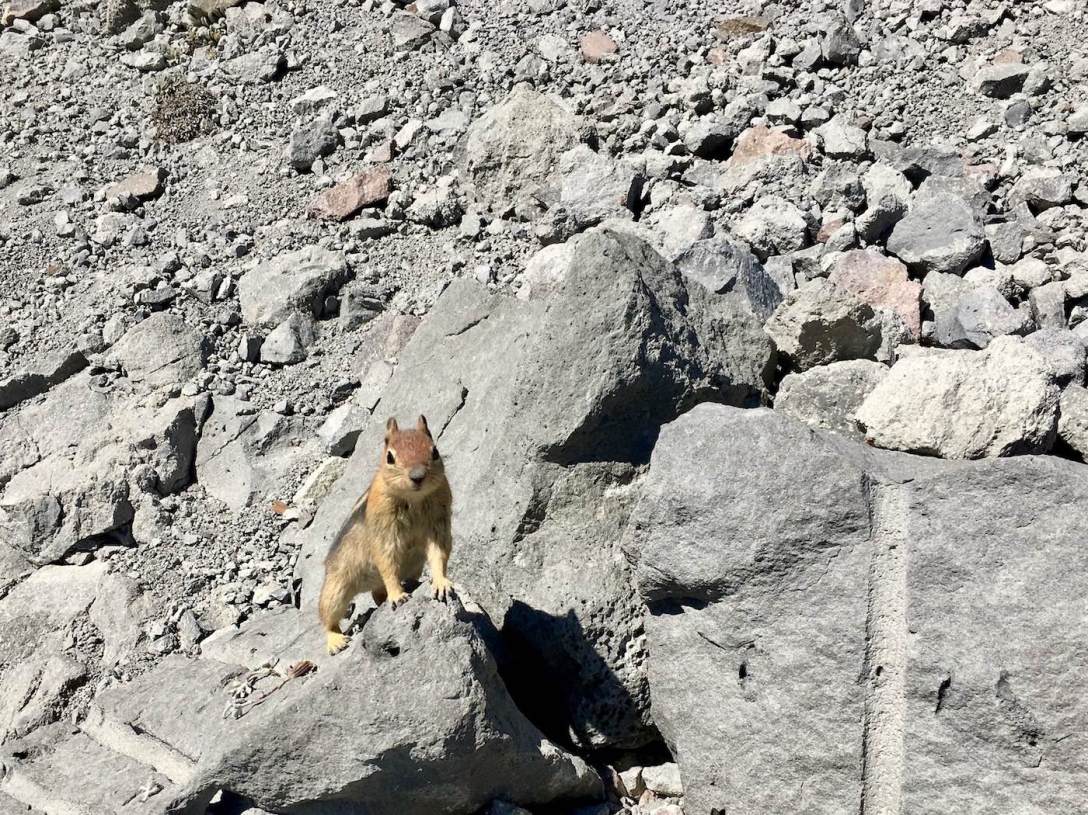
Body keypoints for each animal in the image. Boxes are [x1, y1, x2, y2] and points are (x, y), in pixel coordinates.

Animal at [318, 415, 454, 655]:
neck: (414, 500)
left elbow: (439, 553)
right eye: (390, 457)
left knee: (377, 594)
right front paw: (397, 595)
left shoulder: (439, 521)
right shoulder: (384, 531)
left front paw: (440, 582)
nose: (417, 476)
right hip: (336, 587)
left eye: (435, 451)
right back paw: (335, 640)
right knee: (328, 617)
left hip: (412, 568)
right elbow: (387, 561)